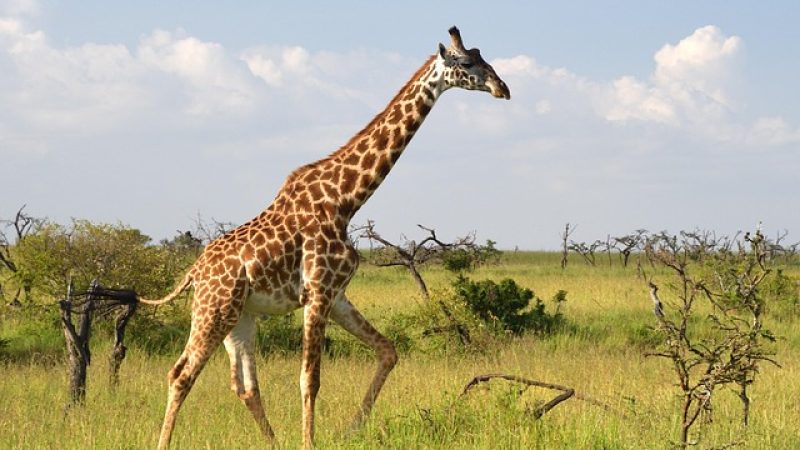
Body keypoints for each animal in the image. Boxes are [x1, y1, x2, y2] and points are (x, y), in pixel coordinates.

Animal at [140, 26, 510, 449]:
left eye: (483, 56)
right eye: (466, 62)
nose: (502, 88)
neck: (346, 200)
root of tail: (194, 271)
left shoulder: (337, 294)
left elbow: (388, 351)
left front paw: (354, 427)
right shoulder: (317, 292)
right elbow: (309, 379)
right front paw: (312, 441)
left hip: (240, 316)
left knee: (245, 385)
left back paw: (273, 442)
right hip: (212, 309)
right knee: (181, 373)